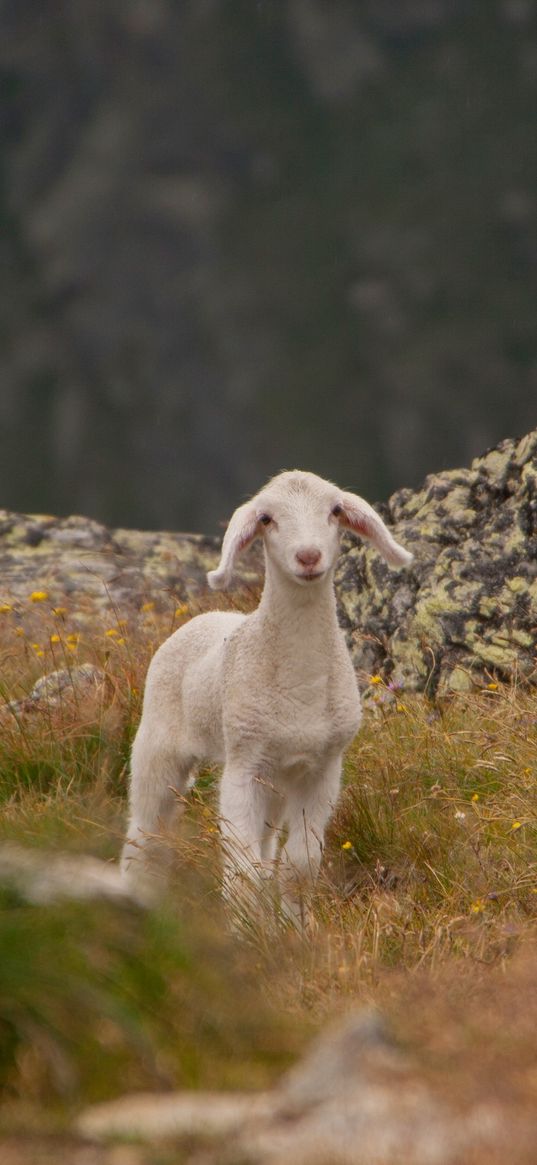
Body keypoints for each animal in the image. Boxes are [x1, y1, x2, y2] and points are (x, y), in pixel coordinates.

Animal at [121, 468, 412, 922]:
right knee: (145, 832)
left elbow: (299, 865)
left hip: (276, 780)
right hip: (158, 745)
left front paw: (294, 928)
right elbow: (244, 872)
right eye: (266, 519)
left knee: (264, 844)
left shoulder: (322, 768)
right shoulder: (243, 765)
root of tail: (204, 616)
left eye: (335, 510)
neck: (302, 685)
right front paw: (247, 930)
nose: (308, 556)